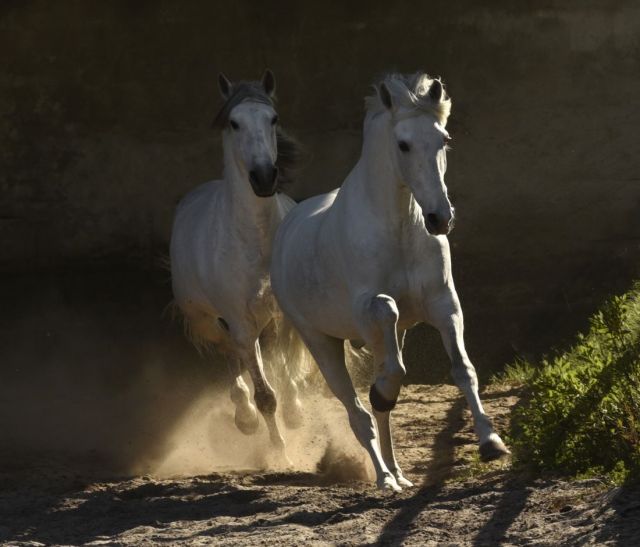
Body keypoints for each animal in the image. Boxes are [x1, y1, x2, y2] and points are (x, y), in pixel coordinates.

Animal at [171, 70, 306, 460]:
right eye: (234, 123)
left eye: (273, 119)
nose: (264, 177)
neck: (255, 243)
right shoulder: (240, 323)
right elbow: (265, 395)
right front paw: (280, 454)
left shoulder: (285, 314)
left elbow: (285, 370)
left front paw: (295, 412)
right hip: (213, 320)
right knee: (231, 356)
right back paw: (244, 417)